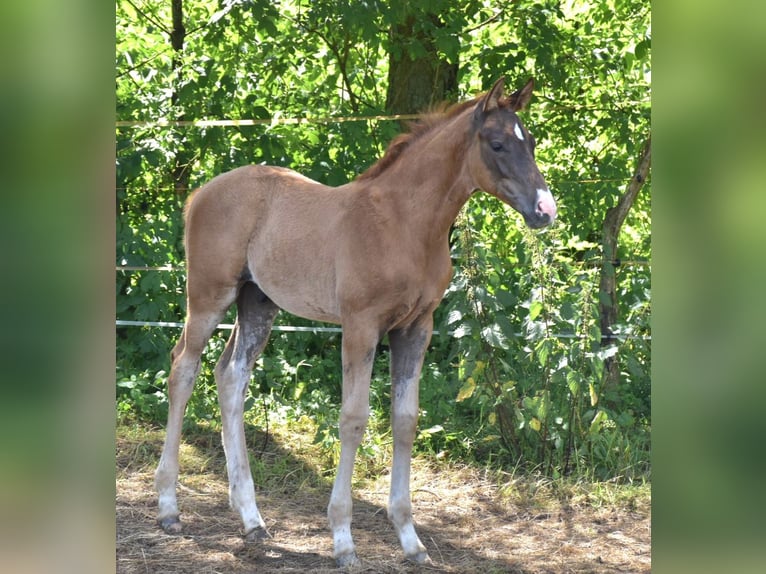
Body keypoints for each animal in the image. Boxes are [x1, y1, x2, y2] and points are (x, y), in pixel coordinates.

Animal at [153, 76, 560, 568]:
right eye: (497, 144)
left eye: (531, 142)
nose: (545, 210)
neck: (403, 224)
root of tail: (200, 193)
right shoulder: (360, 325)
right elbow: (353, 418)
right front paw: (343, 540)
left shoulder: (416, 329)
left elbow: (405, 419)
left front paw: (410, 539)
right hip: (209, 296)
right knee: (183, 369)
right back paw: (169, 508)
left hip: (258, 303)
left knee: (231, 376)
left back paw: (252, 520)